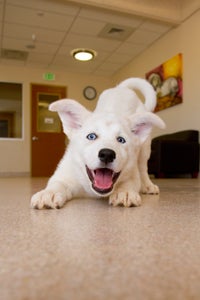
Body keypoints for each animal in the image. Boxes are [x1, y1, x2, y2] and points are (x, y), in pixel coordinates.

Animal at [30, 77, 166, 209]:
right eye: (91, 136)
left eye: (121, 140)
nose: (107, 154)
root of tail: (121, 88)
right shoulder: (65, 174)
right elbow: (58, 183)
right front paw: (49, 193)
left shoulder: (132, 174)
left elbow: (129, 183)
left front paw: (124, 192)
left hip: (145, 149)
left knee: (143, 168)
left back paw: (148, 185)